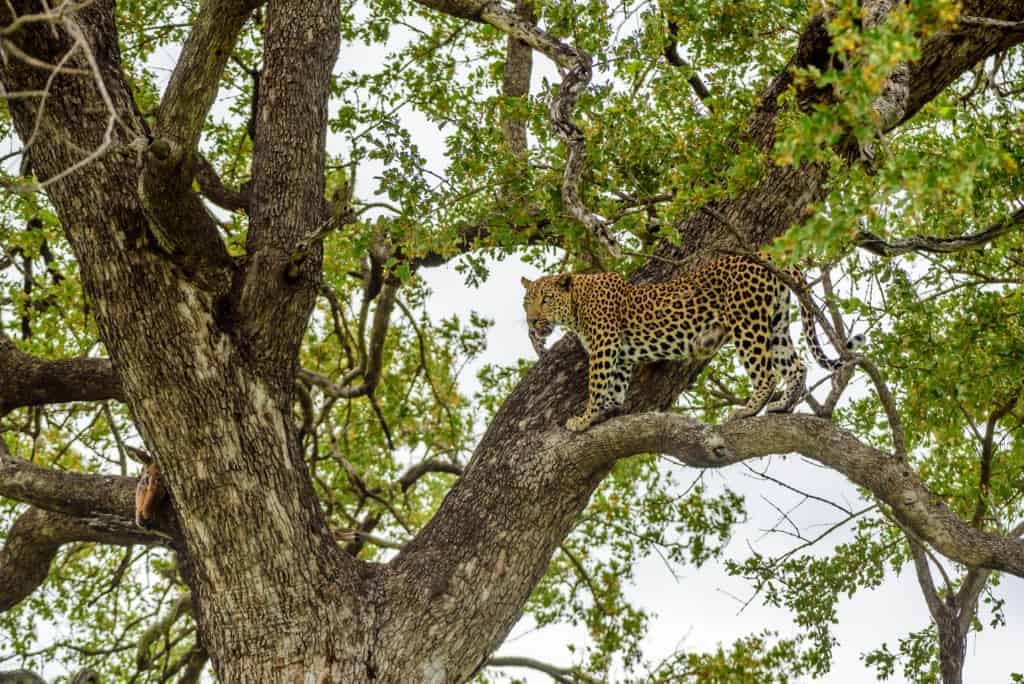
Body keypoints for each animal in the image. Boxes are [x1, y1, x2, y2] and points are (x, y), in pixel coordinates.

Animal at [520, 253, 864, 430]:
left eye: (546, 300)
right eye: (527, 302)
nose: (532, 322)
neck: (577, 303)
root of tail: (769, 255)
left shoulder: (604, 345)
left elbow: (596, 383)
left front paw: (585, 417)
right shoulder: (621, 353)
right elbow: (615, 384)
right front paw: (610, 410)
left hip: (747, 321)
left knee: (766, 372)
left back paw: (747, 411)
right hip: (775, 320)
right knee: (796, 365)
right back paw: (783, 405)